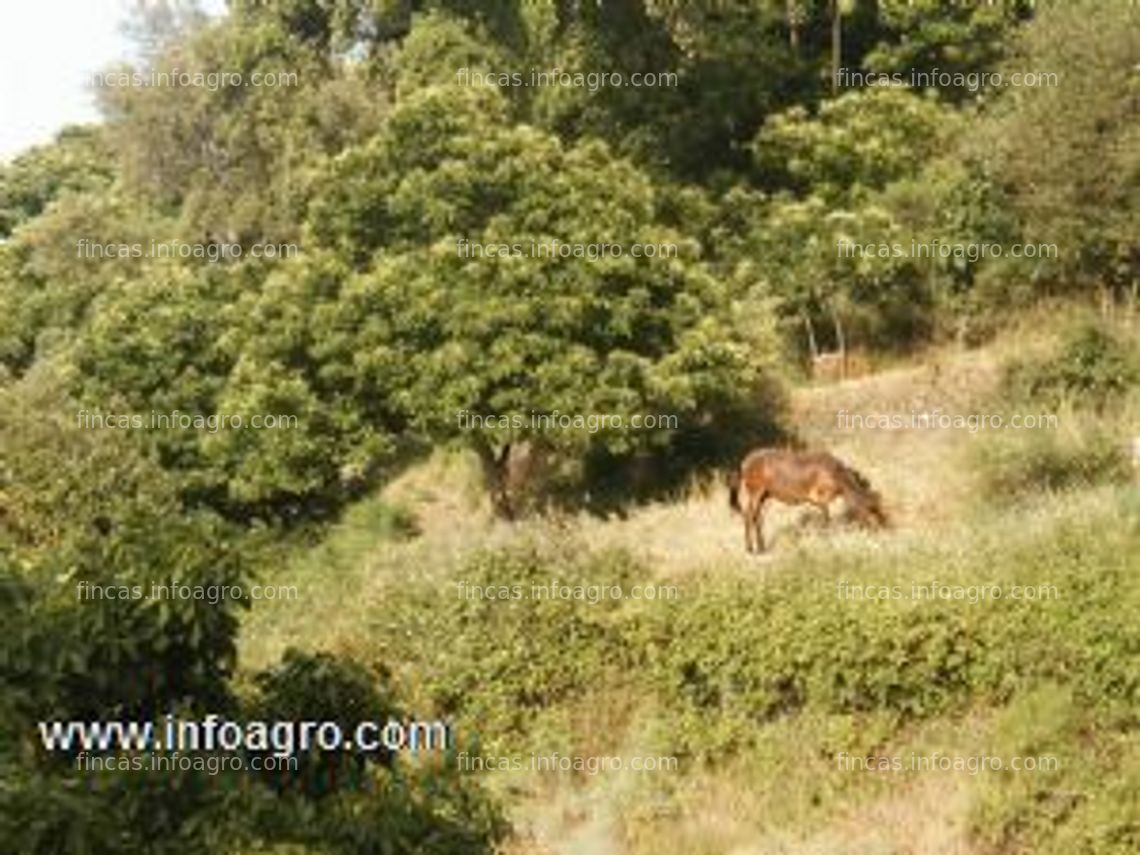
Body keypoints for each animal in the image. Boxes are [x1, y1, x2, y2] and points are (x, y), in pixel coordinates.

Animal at [729, 449, 889, 556]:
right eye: (874, 510)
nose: (884, 528)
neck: (838, 475)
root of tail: (745, 462)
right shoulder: (822, 497)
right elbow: (827, 518)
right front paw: (827, 539)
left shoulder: (819, 500)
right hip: (756, 492)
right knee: (749, 516)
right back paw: (750, 549)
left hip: (765, 496)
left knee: (758, 518)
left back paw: (762, 547)